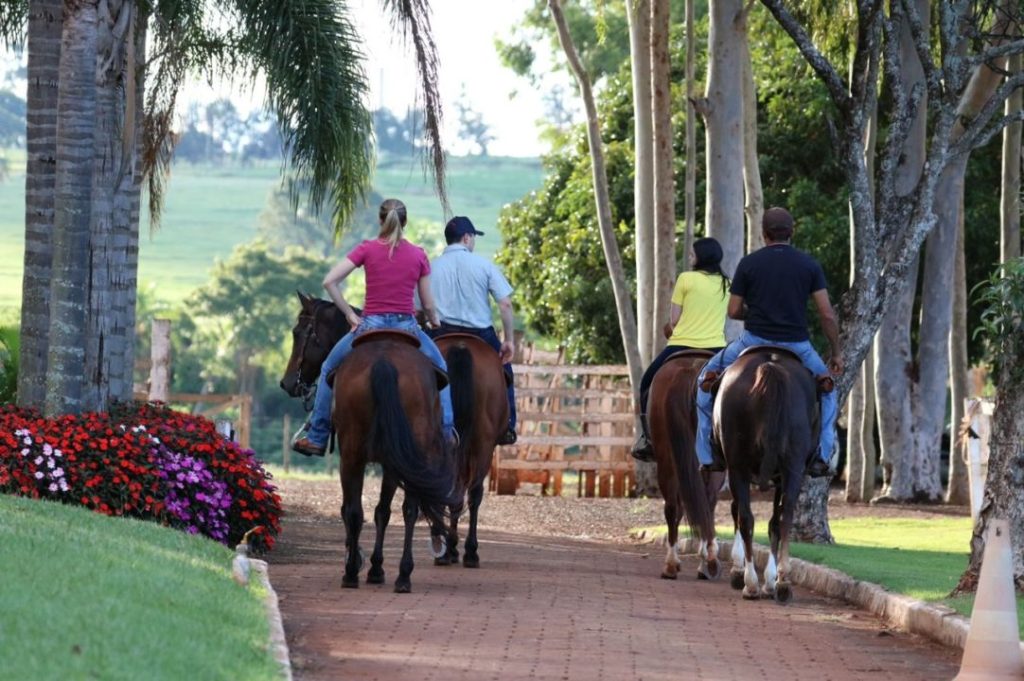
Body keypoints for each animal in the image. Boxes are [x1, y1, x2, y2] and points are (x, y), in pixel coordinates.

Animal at [712, 346, 823, 602]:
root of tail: (771, 367)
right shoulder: (781, 477)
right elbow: (774, 521)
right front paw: (771, 579)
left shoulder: (737, 471)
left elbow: (740, 512)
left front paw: (740, 571)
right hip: (792, 467)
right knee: (785, 516)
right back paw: (782, 582)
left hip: (739, 467)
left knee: (745, 516)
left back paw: (751, 583)